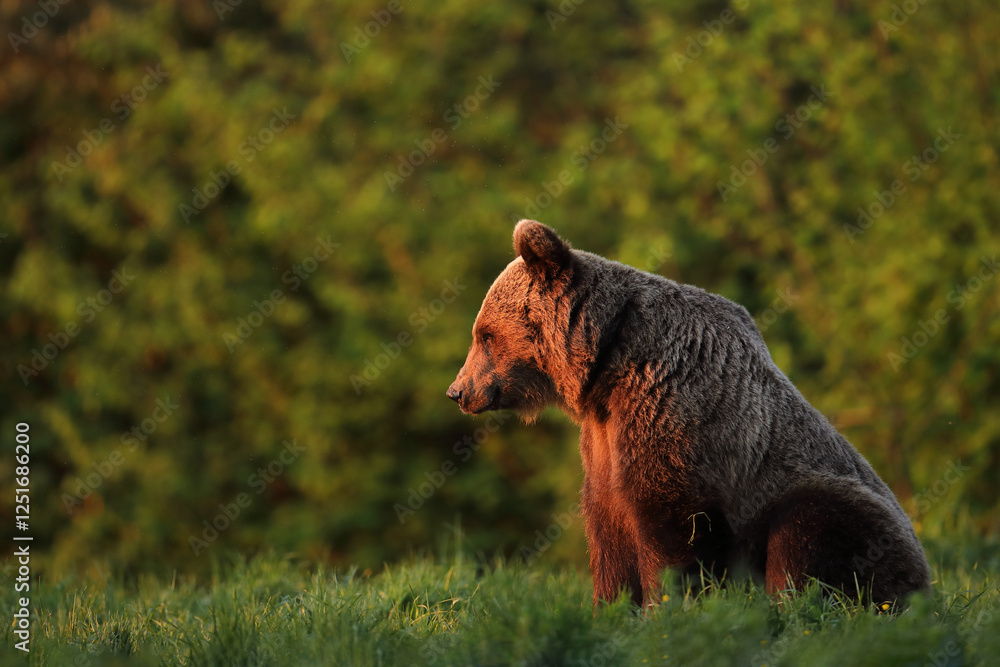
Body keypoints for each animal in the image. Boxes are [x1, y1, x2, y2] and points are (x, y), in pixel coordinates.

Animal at [447, 219, 931, 608]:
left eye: (485, 335)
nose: (457, 391)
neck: (605, 371)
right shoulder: (603, 442)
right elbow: (608, 532)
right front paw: (611, 609)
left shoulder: (673, 418)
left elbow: (672, 529)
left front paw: (667, 608)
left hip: (836, 505)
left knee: (807, 534)